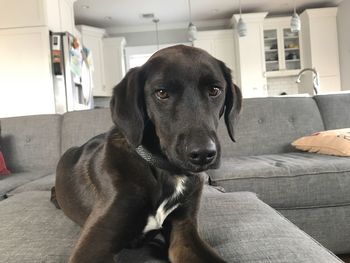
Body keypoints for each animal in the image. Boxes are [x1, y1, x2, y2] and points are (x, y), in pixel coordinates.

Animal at [52, 45, 241, 263]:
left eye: (214, 90)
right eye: (161, 93)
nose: (203, 154)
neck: (168, 172)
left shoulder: (184, 231)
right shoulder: (93, 247)